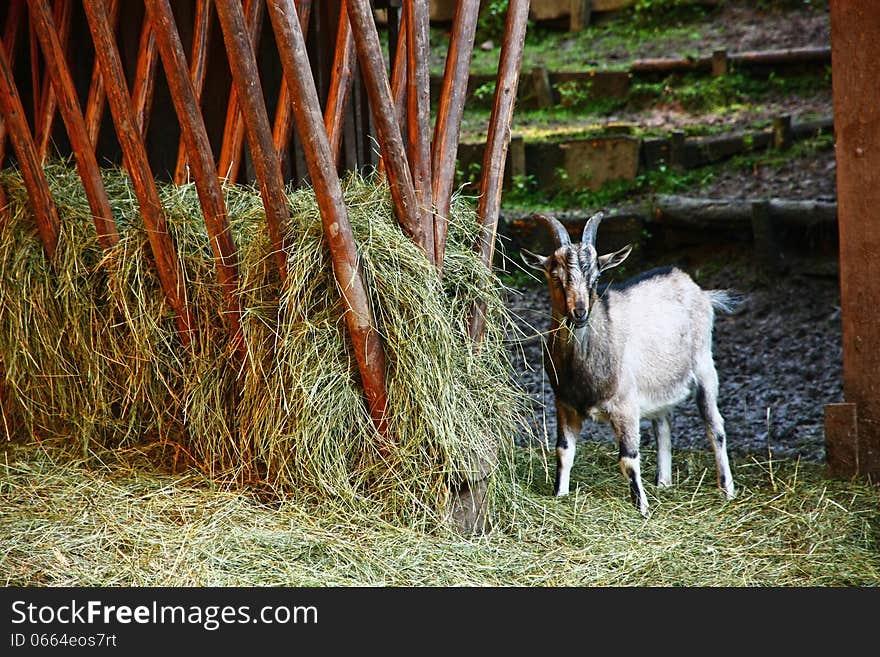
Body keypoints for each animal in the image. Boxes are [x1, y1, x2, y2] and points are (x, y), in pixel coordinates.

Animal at [524, 213, 736, 516]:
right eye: (555, 275)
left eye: (597, 277)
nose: (579, 312)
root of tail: (698, 291)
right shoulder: (564, 404)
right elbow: (563, 451)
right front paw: (560, 495)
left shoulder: (625, 406)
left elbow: (628, 458)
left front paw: (642, 508)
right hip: (660, 380)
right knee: (663, 424)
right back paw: (663, 482)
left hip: (704, 366)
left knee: (715, 426)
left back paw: (726, 489)